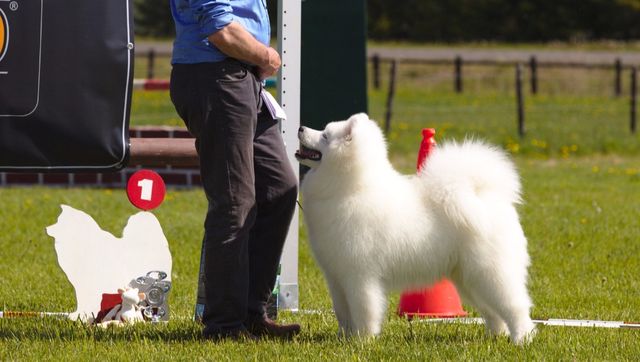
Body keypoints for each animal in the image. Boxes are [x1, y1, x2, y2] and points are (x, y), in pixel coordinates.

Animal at [296, 114, 536, 346]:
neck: (349, 188)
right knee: (492, 311)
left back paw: (522, 339)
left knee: (515, 307)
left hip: (491, 273)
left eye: (325, 135)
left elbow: (364, 312)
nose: (301, 128)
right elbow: (343, 312)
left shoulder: (360, 276)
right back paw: (495, 336)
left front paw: (363, 341)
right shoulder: (336, 276)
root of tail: (487, 195)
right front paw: (344, 338)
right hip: (469, 278)